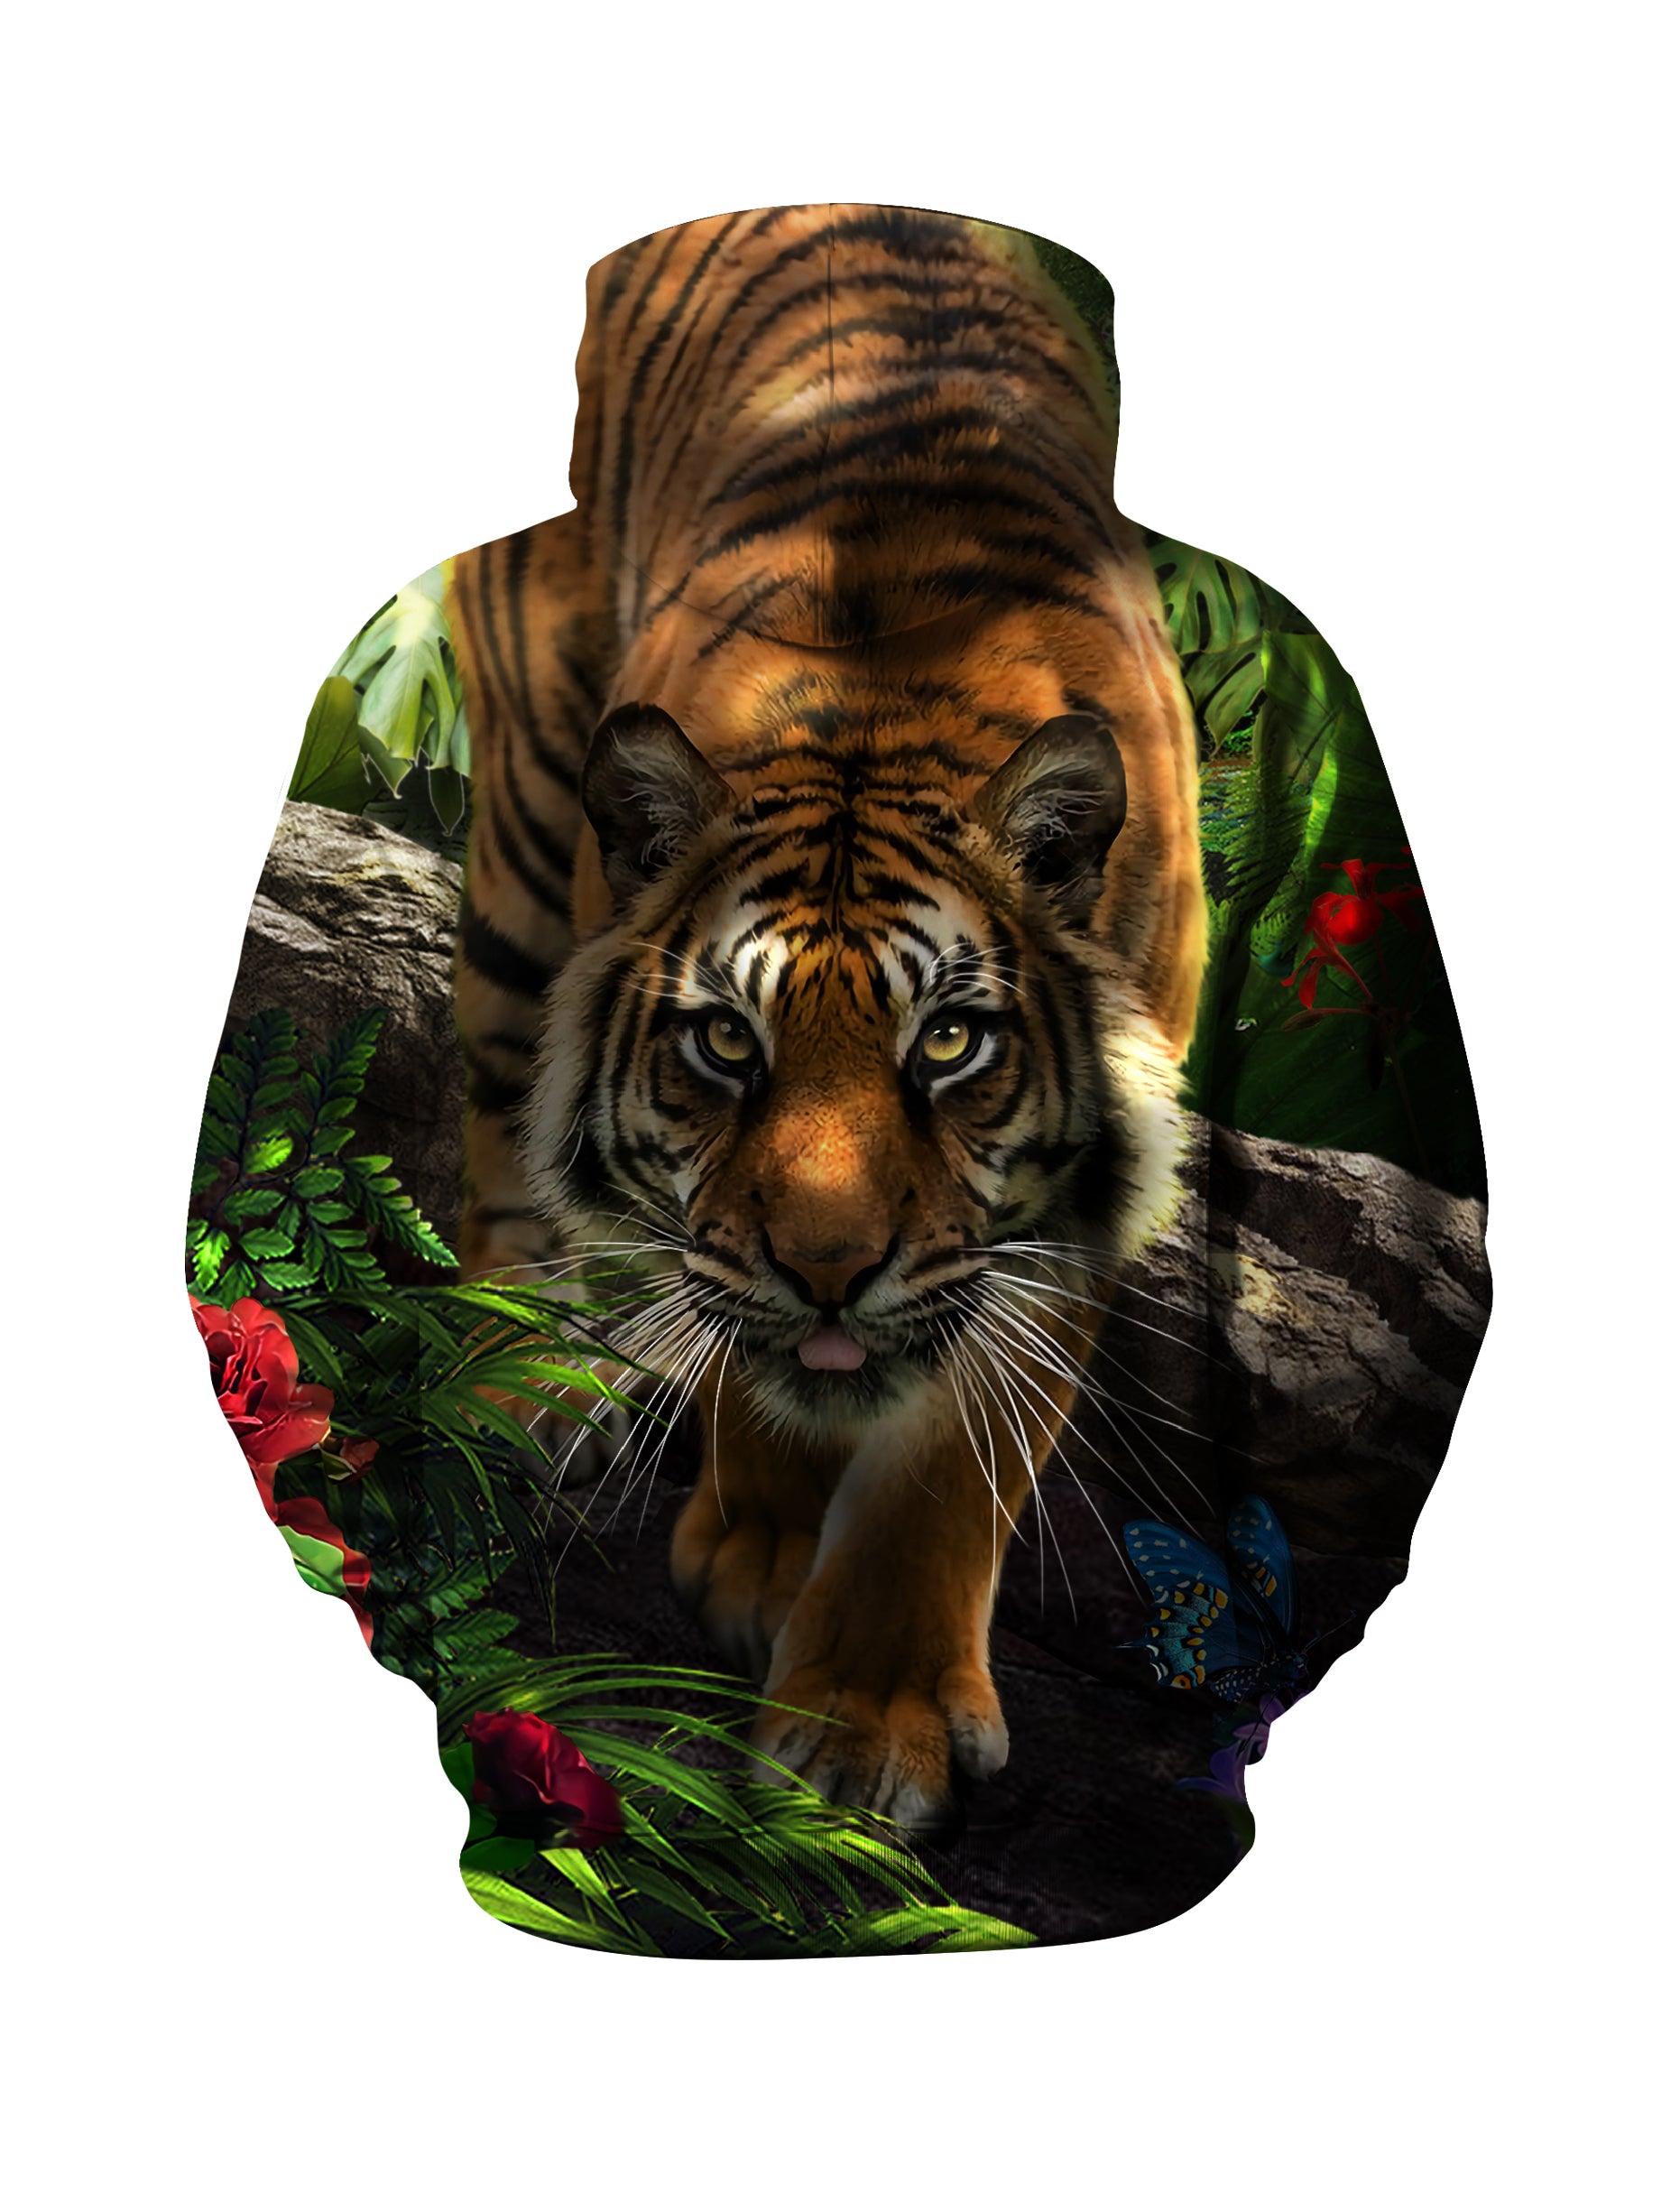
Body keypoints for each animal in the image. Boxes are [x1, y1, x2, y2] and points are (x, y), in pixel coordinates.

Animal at [446, 203, 1206, 1826]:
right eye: (728, 1042)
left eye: (950, 1043)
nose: (831, 1275)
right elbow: (738, 1322)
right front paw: (764, 1552)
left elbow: (949, 1464)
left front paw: (866, 1723)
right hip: (534, 810)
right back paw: (534, 1374)